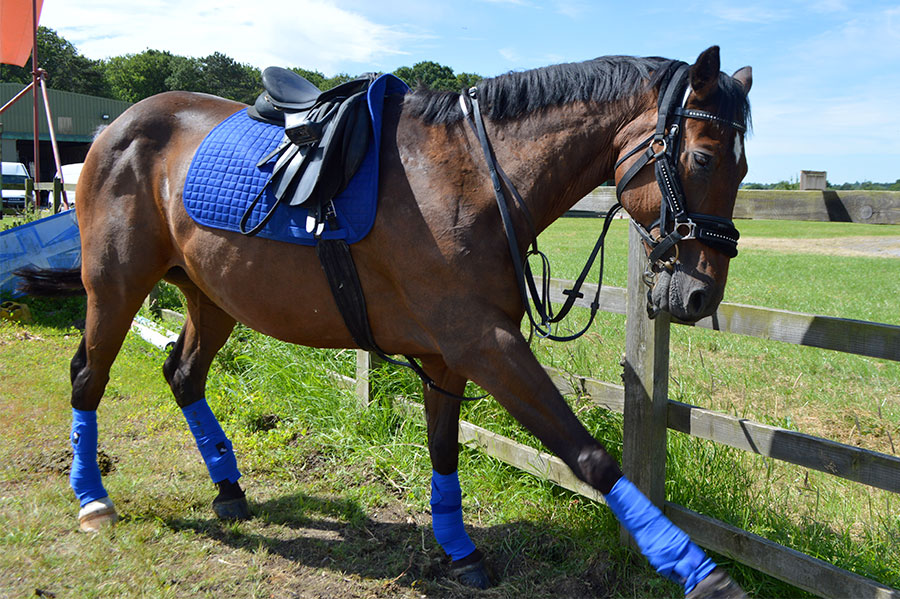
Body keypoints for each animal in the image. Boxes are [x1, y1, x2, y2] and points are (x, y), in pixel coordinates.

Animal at [19, 46, 751, 597]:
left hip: (212, 296)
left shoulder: (450, 355)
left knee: (183, 373)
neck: (472, 178)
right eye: (704, 157)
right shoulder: (485, 344)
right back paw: (92, 498)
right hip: (115, 287)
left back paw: (227, 485)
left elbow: (444, 448)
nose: (698, 296)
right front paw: (696, 570)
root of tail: (115, 130)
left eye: (743, 165)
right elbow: (589, 455)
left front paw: (458, 548)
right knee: (88, 376)